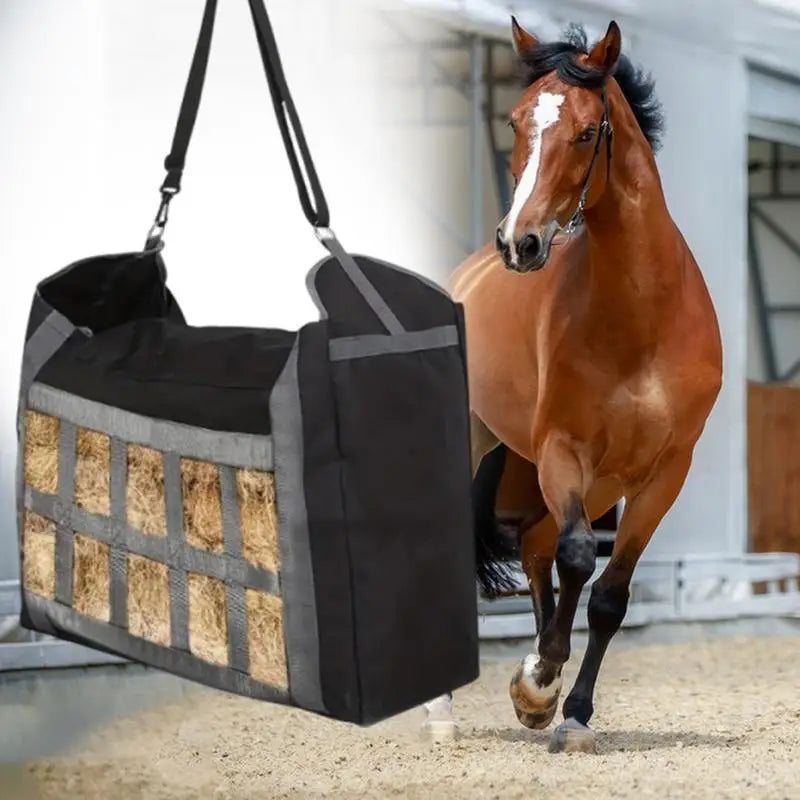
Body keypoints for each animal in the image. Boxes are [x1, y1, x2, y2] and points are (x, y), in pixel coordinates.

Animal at [423, 18, 723, 753]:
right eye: (516, 120)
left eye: (588, 132)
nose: (520, 243)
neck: (642, 317)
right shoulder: (564, 451)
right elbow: (580, 556)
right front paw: (536, 684)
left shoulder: (663, 473)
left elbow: (610, 593)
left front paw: (570, 711)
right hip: (494, 448)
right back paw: (445, 710)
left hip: (588, 477)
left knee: (535, 549)